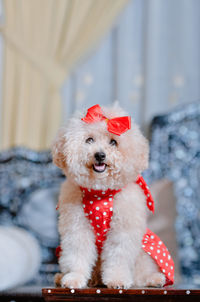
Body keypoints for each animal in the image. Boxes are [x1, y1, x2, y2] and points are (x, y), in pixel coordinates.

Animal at [52, 104, 174, 290]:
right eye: (89, 140)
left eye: (113, 142)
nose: (100, 155)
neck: (100, 194)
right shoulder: (77, 227)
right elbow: (77, 253)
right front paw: (74, 278)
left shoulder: (122, 231)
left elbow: (118, 257)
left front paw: (117, 280)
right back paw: (65, 277)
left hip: (144, 251)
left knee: (142, 273)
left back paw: (154, 279)